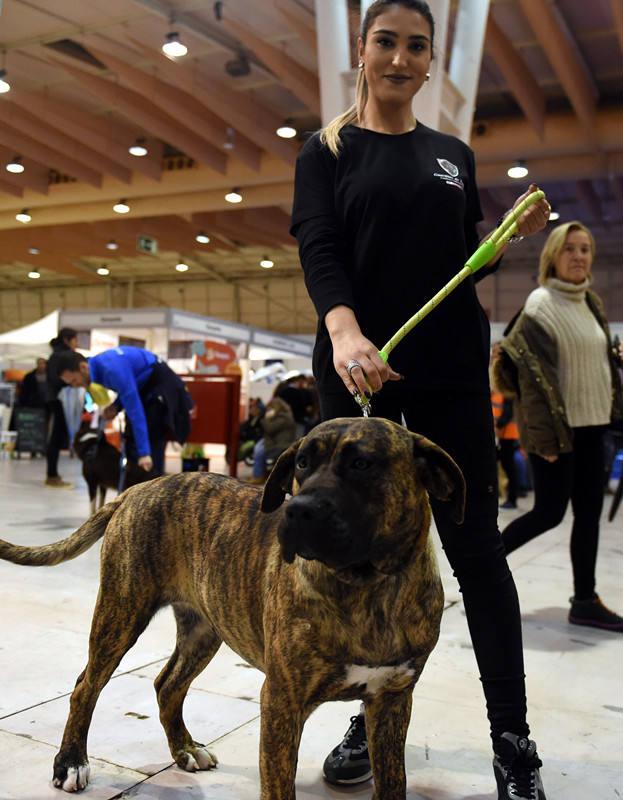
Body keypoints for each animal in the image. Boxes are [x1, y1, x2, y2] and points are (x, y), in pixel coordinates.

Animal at [0, 418, 464, 800]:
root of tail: (138, 489)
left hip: (205, 629)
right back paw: (71, 764)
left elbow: (394, 782)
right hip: (121, 612)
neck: (370, 587)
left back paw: (185, 748)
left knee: (168, 684)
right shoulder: (281, 702)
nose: (296, 511)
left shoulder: (392, 702)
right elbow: (279, 788)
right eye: (301, 464)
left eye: (362, 464)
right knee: (86, 687)